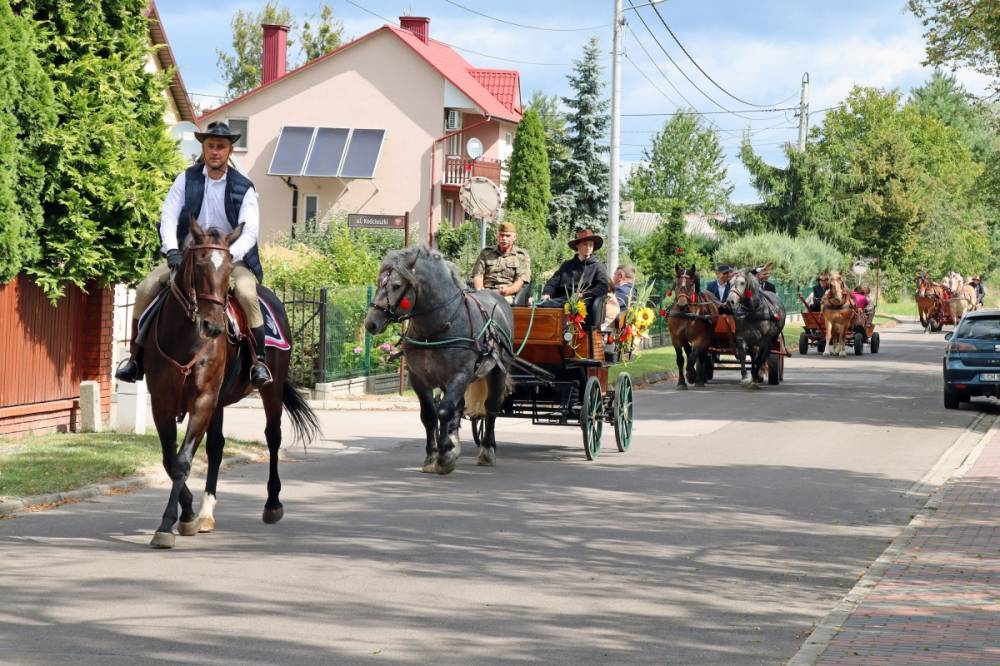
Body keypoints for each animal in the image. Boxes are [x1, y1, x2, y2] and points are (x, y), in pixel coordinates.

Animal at [144, 220, 320, 549]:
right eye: (199, 264)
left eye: (228, 269)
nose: (212, 326)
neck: (185, 339)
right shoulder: (162, 402)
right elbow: (170, 459)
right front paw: (187, 514)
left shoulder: (202, 400)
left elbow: (182, 461)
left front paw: (167, 524)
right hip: (220, 403)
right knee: (216, 447)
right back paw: (205, 513)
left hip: (270, 390)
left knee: (272, 437)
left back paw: (272, 504)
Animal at [364, 245, 514, 474]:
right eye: (379, 281)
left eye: (396, 285)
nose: (370, 323)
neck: (436, 327)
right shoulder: (419, 379)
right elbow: (429, 415)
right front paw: (433, 455)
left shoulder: (459, 375)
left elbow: (443, 411)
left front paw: (445, 456)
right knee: (459, 407)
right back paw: (456, 443)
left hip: (497, 371)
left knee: (491, 408)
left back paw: (487, 450)